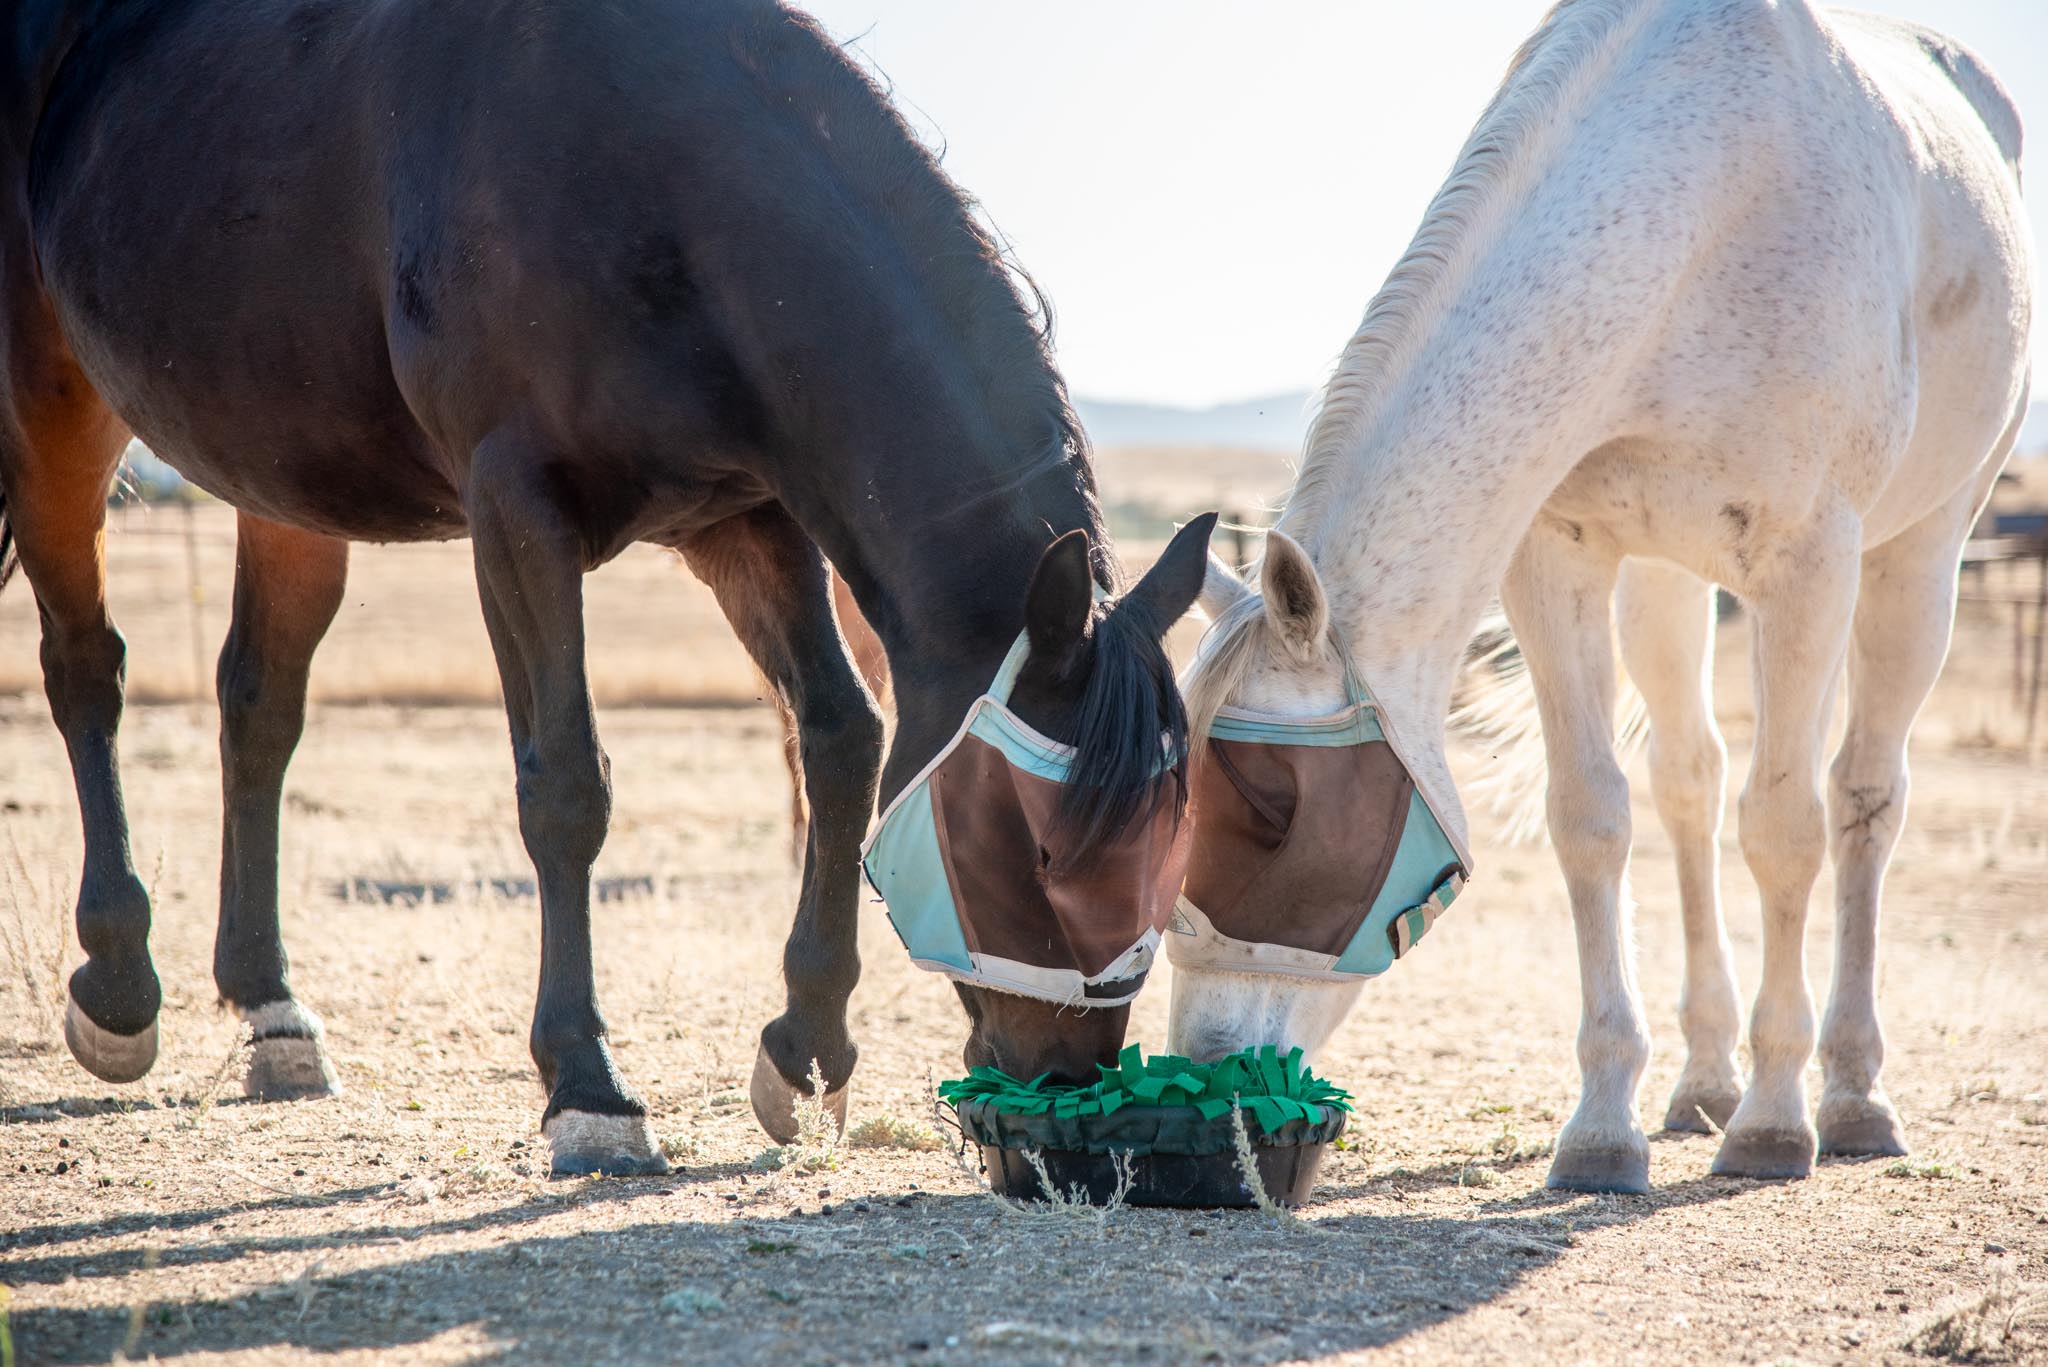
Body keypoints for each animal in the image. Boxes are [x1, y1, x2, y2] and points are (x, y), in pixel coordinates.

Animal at [0, 0, 1213, 1175]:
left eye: (1171, 836)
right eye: (1037, 848)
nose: (1066, 1094)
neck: (651, 169)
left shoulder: (746, 518)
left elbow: (840, 738)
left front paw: (804, 1045)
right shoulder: (516, 514)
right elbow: (566, 785)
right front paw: (588, 1090)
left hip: (286, 477)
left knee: (259, 702)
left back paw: (273, 1011)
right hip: (52, 406)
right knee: (84, 669)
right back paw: (118, 981)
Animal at [1175, 0, 2032, 1193]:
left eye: (1269, 810)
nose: (1200, 1065)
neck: (1706, 204)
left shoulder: (1808, 564)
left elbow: (1785, 826)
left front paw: (1775, 1122)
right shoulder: (1558, 556)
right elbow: (1591, 817)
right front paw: (1601, 1128)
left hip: (1921, 554)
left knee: (1863, 797)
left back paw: (1849, 1094)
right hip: (1666, 581)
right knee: (1687, 783)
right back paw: (1704, 1080)